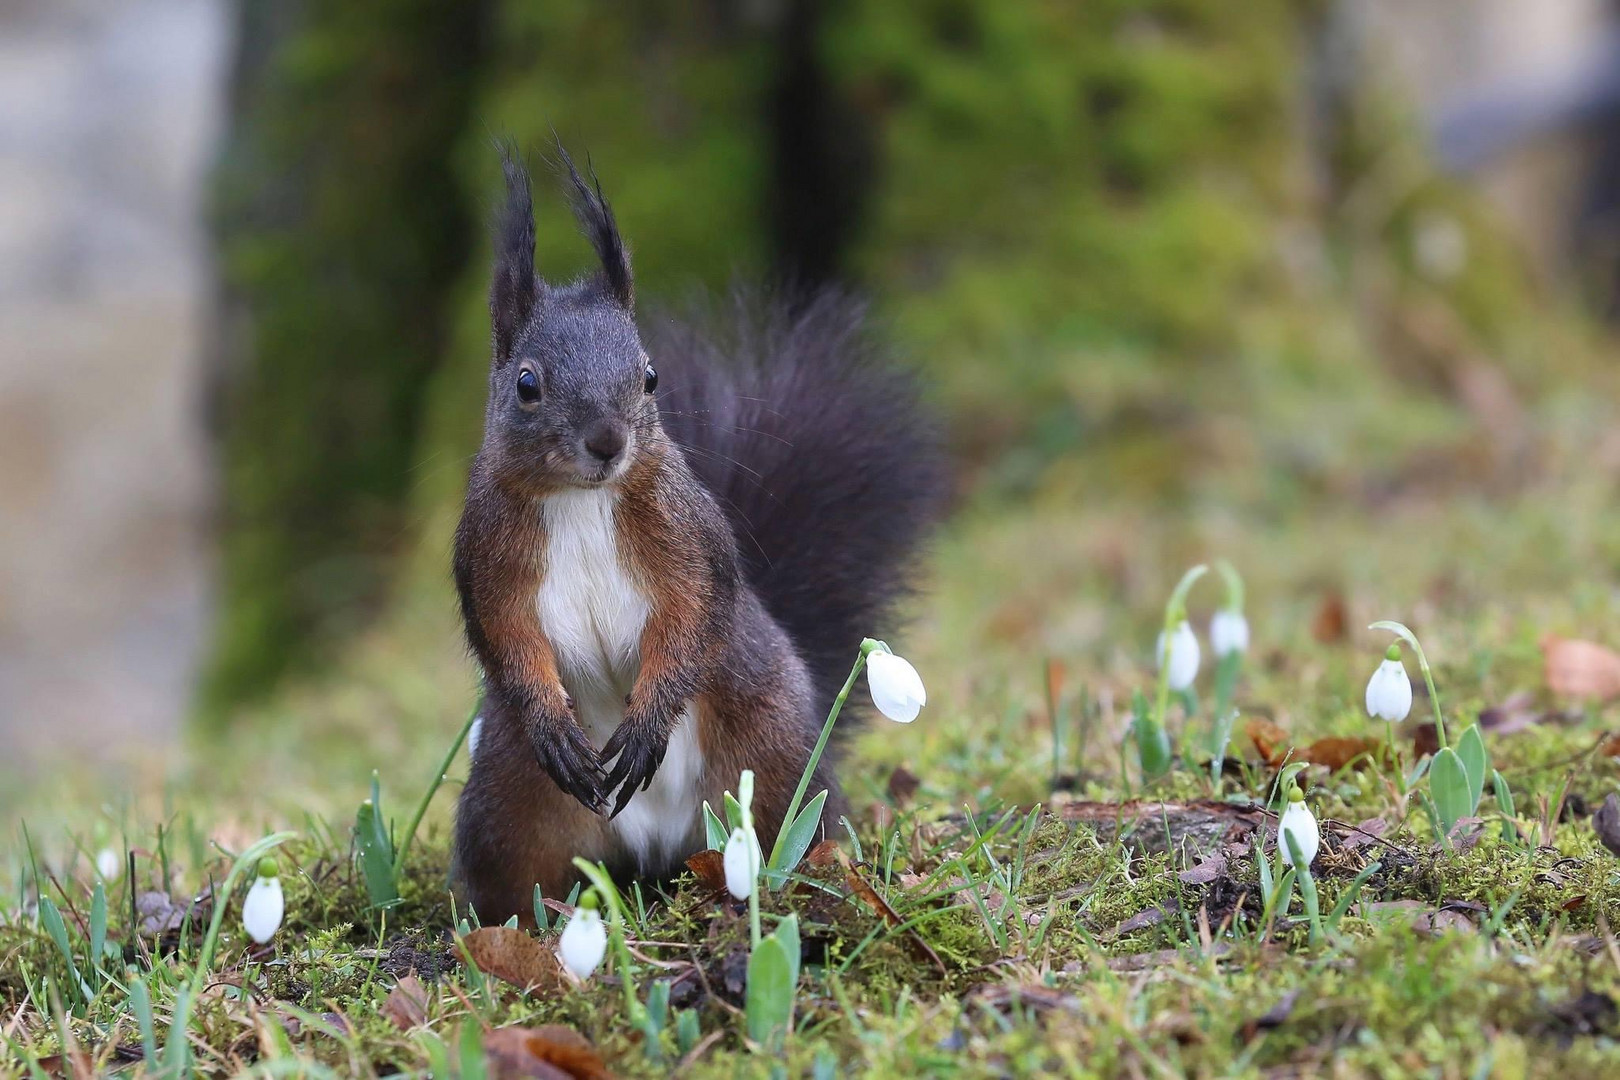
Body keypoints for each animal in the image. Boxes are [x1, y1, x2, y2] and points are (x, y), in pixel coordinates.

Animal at [450, 148, 946, 926]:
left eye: (650, 375)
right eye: (527, 385)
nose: (607, 441)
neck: (581, 500)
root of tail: (657, 850)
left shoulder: (689, 537)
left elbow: (694, 614)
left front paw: (649, 720)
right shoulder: (484, 554)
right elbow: (505, 634)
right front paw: (551, 721)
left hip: (771, 756)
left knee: (791, 824)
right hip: (509, 798)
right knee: (518, 873)